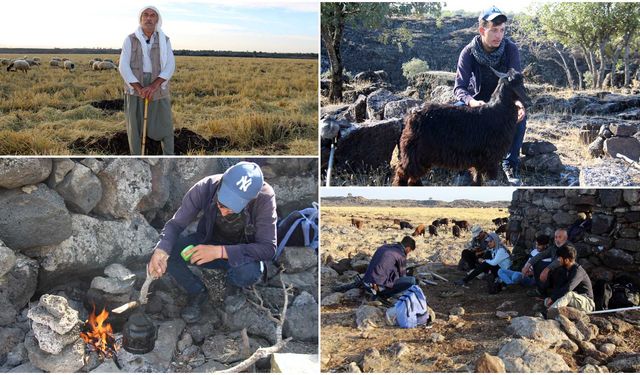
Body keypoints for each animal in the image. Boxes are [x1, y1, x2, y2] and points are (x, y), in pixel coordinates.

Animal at [392, 68, 532, 187]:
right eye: (518, 82)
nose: (528, 102)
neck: (498, 111)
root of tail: (411, 115)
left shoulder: (478, 159)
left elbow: (477, 178)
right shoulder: (491, 157)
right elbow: (491, 178)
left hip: (421, 156)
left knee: (412, 176)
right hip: (414, 153)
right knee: (402, 173)